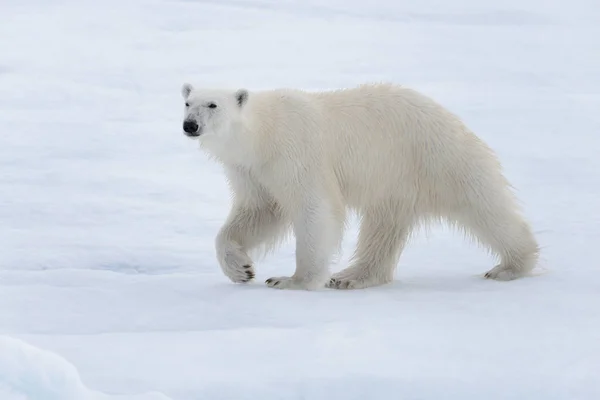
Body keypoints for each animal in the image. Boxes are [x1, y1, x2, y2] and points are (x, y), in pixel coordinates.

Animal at [179, 82, 540, 290]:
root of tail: (450, 117)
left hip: (436, 157)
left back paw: (511, 266)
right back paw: (351, 276)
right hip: (396, 181)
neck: (263, 132)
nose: (190, 125)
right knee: (382, 228)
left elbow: (314, 208)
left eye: (212, 105)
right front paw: (241, 269)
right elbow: (259, 211)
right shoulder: (252, 170)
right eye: (187, 102)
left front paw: (293, 280)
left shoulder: (295, 152)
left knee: (483, 205)